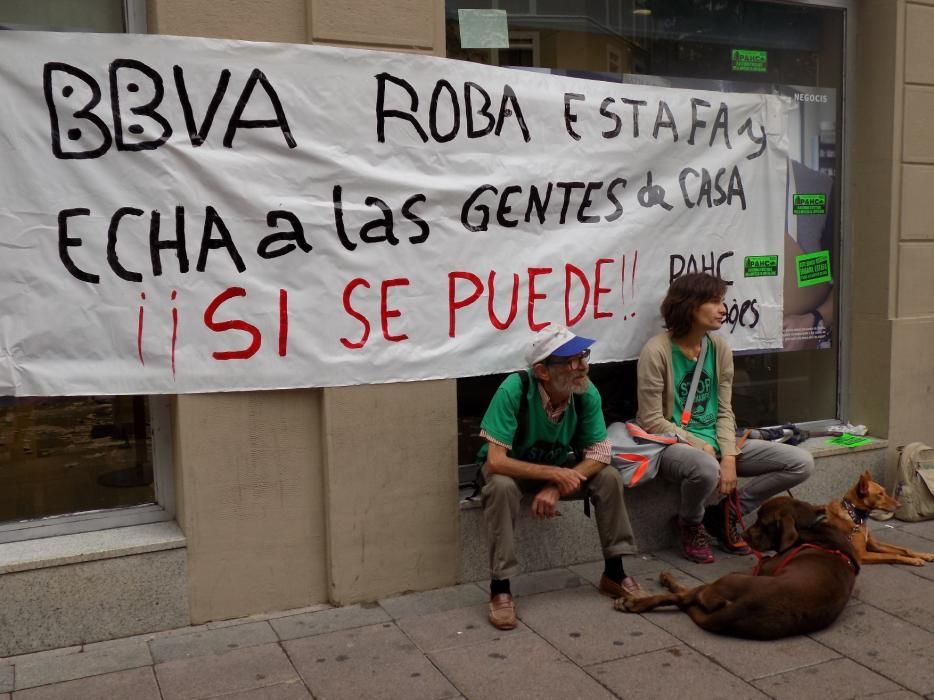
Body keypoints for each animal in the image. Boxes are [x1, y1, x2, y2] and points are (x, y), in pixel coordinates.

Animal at [616, 498, 860, 640]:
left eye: (763, 523)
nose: (743, 535)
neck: (813, 529)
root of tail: (743, 608)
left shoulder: (762, 568)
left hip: (726, 580)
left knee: (683, 596)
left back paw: (637, 599)